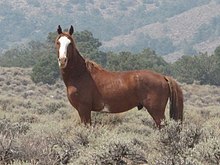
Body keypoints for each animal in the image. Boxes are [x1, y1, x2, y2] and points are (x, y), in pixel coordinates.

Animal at [55, 25, 184, 127]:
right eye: (58, 42)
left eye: (70, 43)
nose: (62, 60)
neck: (80, 74)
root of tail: (163, 77)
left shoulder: (84, 109)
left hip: (156, 111)